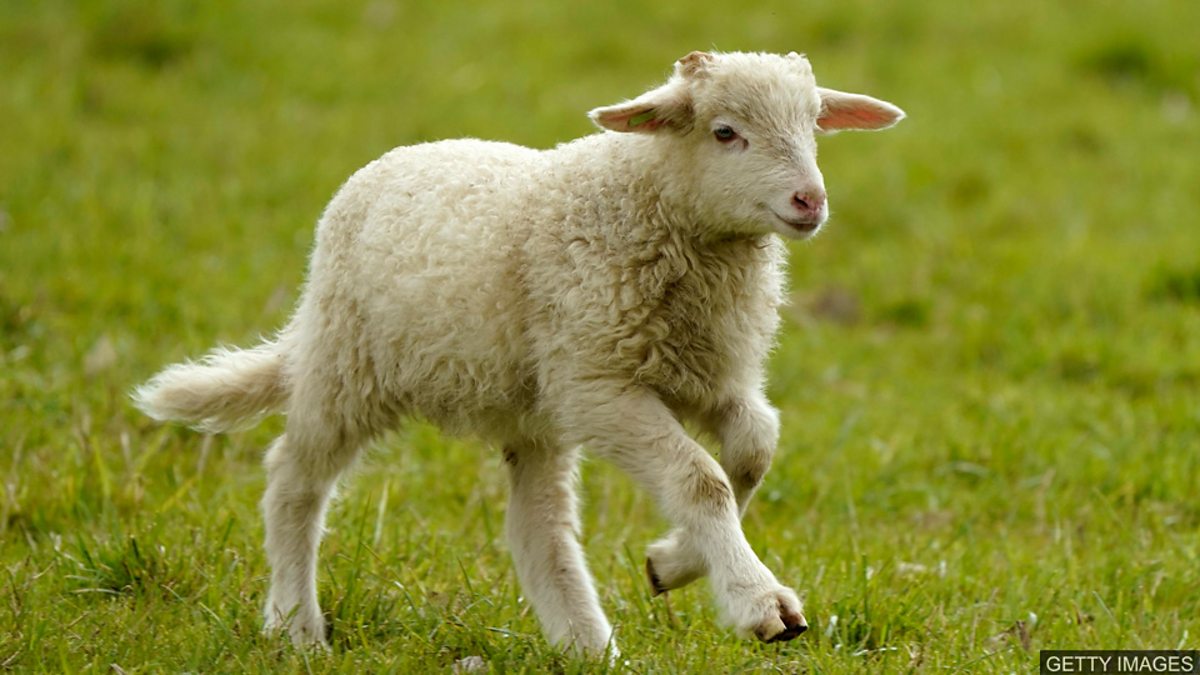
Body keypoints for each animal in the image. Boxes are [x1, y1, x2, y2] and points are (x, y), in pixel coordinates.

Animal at [134, 50, 904, 656]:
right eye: (726, 132)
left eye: (813, 127)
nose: (810, 201)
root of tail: (394, 158)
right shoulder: (598, 381)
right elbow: (700, 479)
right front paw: (760, 603)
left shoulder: (705, 374)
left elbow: (752, 449)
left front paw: (671, 562)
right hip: (347, 364)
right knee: (293, 480)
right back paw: (296, 626)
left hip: (530, 408)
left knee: (538, 525)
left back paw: (586, 644)